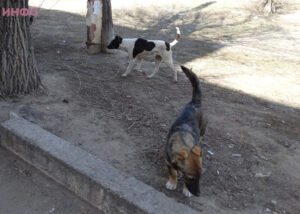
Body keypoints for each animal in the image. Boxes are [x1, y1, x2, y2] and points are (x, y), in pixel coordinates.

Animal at [165, 65, 207, 197]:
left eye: (200, 177)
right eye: (190, 178)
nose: (198, 195)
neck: (183, 142)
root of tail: (195, 102)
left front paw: (186, 189)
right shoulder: (168, 161)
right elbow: (173, 172)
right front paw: (172, 182)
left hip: (203, 130)